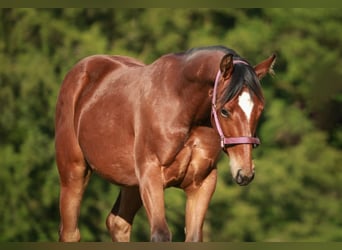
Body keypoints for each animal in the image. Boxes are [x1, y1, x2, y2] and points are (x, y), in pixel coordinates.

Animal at [55, 45, 276, 242]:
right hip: (74, 173)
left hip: (132, 184)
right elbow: (160, 235)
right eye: (224, 111)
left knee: (118, 224)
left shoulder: (202, 183)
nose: (245, 173)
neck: (183, 107)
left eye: (260, 109)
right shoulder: (151, 175)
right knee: (70, 232)